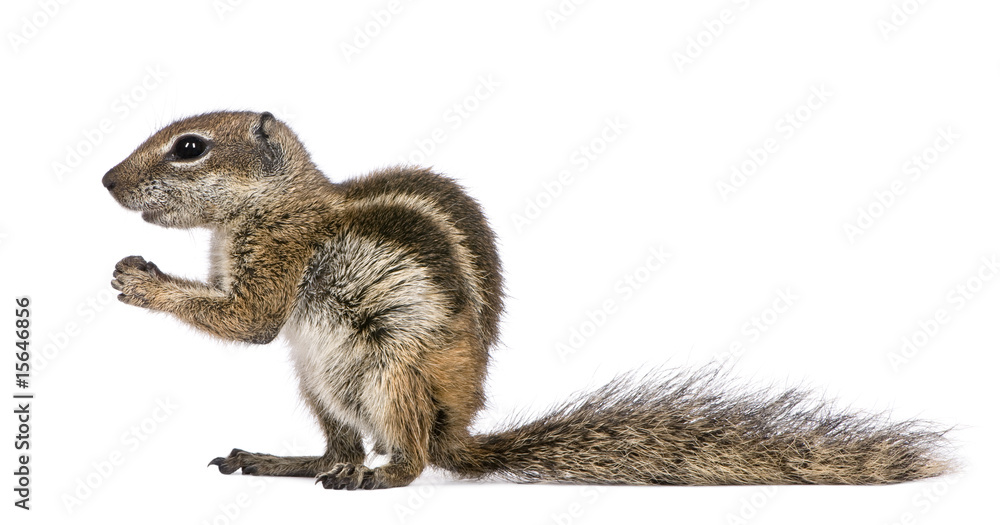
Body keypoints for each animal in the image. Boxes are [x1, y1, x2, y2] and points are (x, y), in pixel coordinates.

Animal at [103, 110, 953, 490]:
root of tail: (453, 427)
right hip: (319, 381)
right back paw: (286, 460)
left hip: (391, 372)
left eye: (189, 147)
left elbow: (250, 320)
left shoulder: (280, 256)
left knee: (405, 456)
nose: (107, 180)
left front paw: (141, 280)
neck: (273, 203)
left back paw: (382, 475)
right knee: (339, 445)